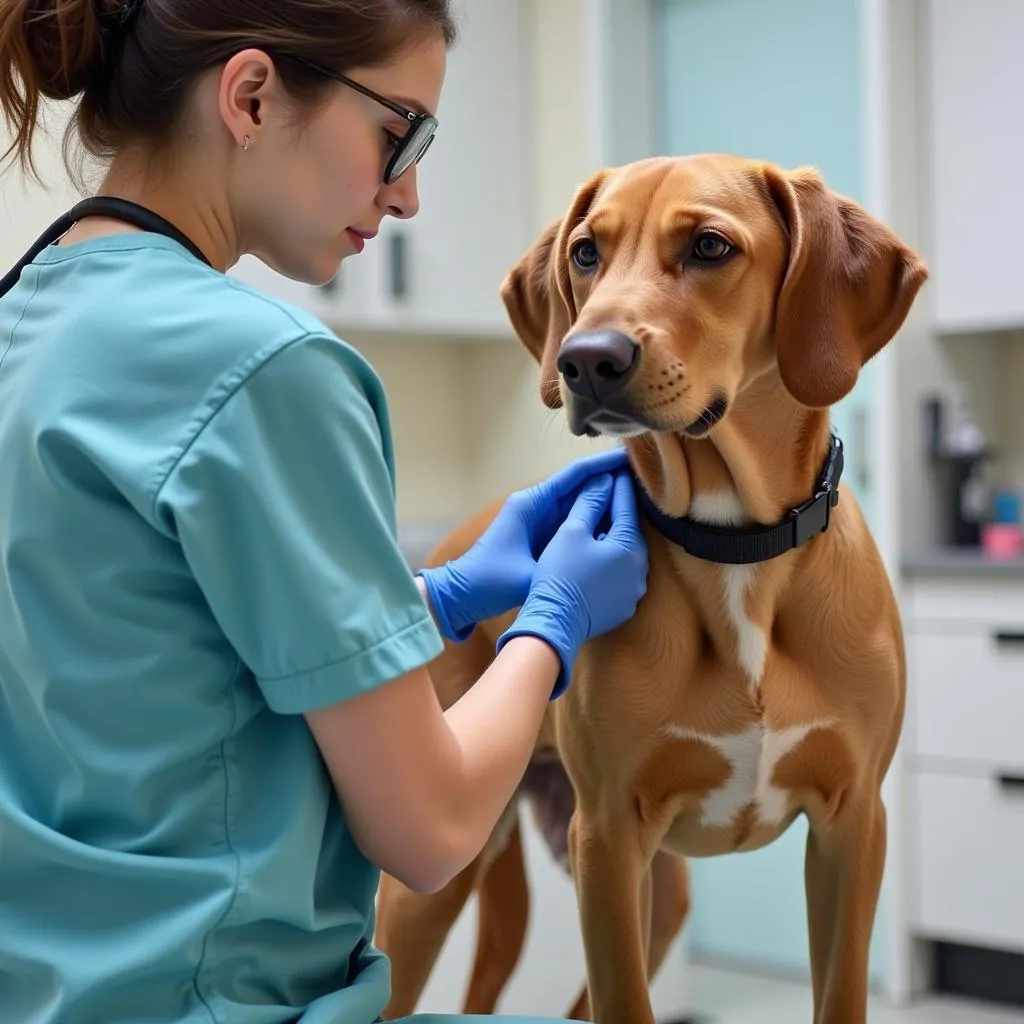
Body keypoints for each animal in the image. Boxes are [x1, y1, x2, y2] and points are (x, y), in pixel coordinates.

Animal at [376, 153, 929, 1024]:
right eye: (584, 253)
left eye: (709, 246)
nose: (584, 359)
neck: (736, 544)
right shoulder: (607, 835)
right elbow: (625, 1001)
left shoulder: (853, 822)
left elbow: (840, 992)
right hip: (433, 886)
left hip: (658, 895)